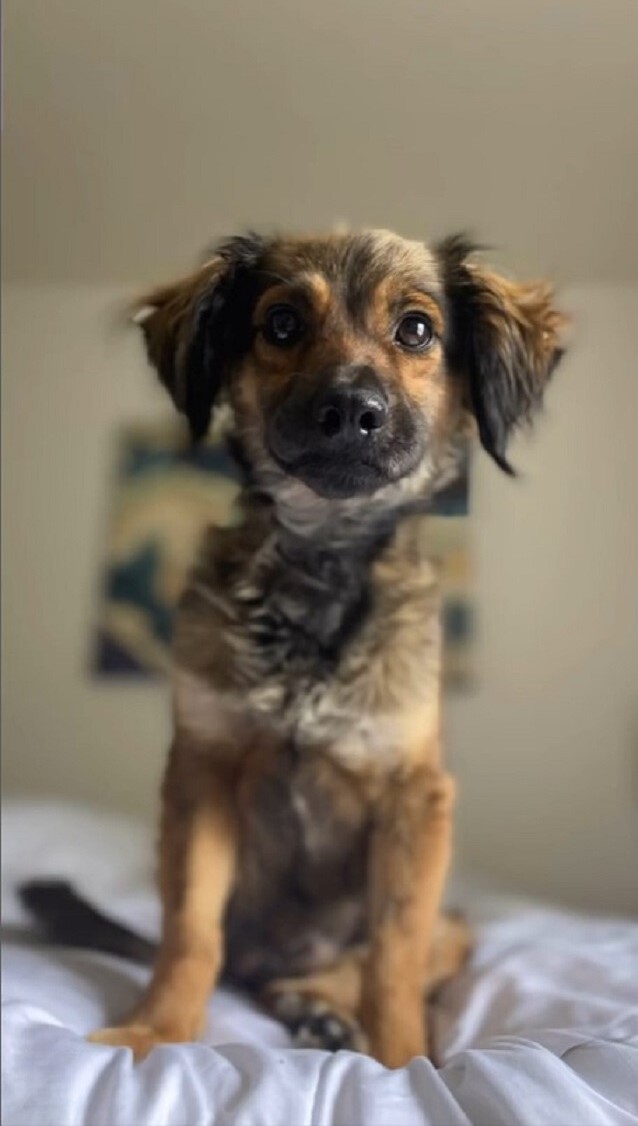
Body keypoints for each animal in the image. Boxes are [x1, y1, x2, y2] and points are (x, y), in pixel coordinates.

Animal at [21, 226, 569, 1062]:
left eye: (417, 328)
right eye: (281, 324)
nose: (349, 408)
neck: (322, 561)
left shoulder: (417, 800)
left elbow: (394, 955)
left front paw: (403, 1061)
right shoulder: (202, 775)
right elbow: (189, 930)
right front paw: (157, 1030)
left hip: (458, 924)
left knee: (364, 963)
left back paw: (324, 1010)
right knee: (241, 964)